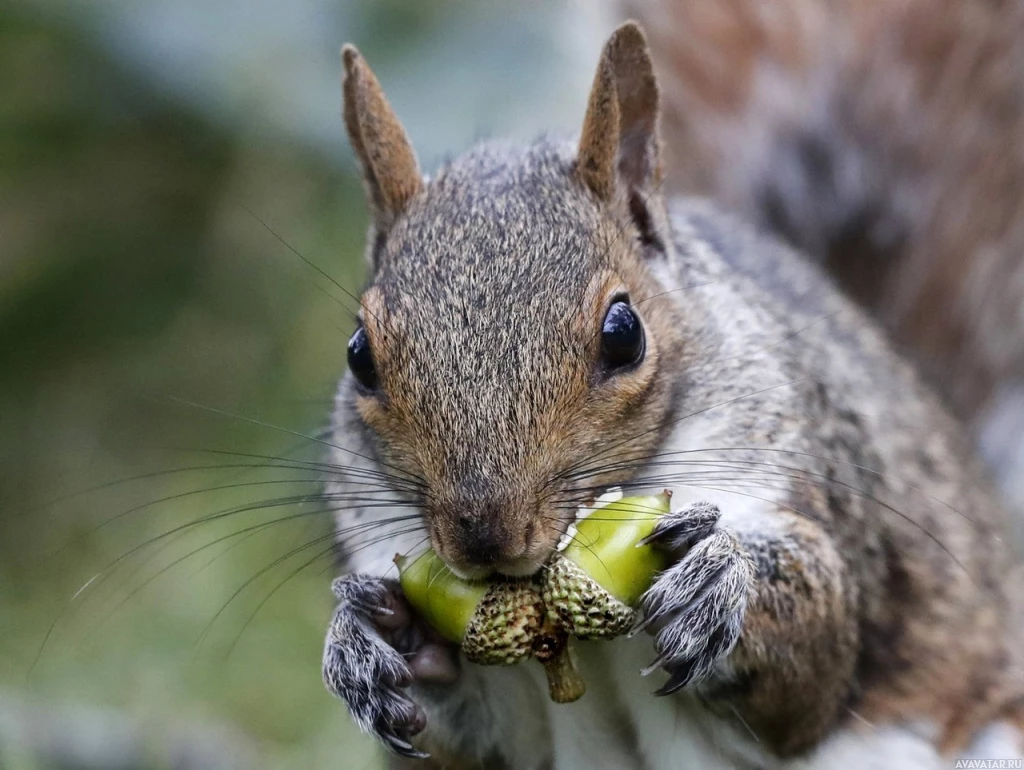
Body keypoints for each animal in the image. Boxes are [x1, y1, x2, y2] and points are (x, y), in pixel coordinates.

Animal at [321, 20, 1024, 765]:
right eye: (359, 355)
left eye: (624, 334)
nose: (484, 539)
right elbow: (474, 730)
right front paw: (370, 638)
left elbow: (813, 674)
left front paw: (720, 578)